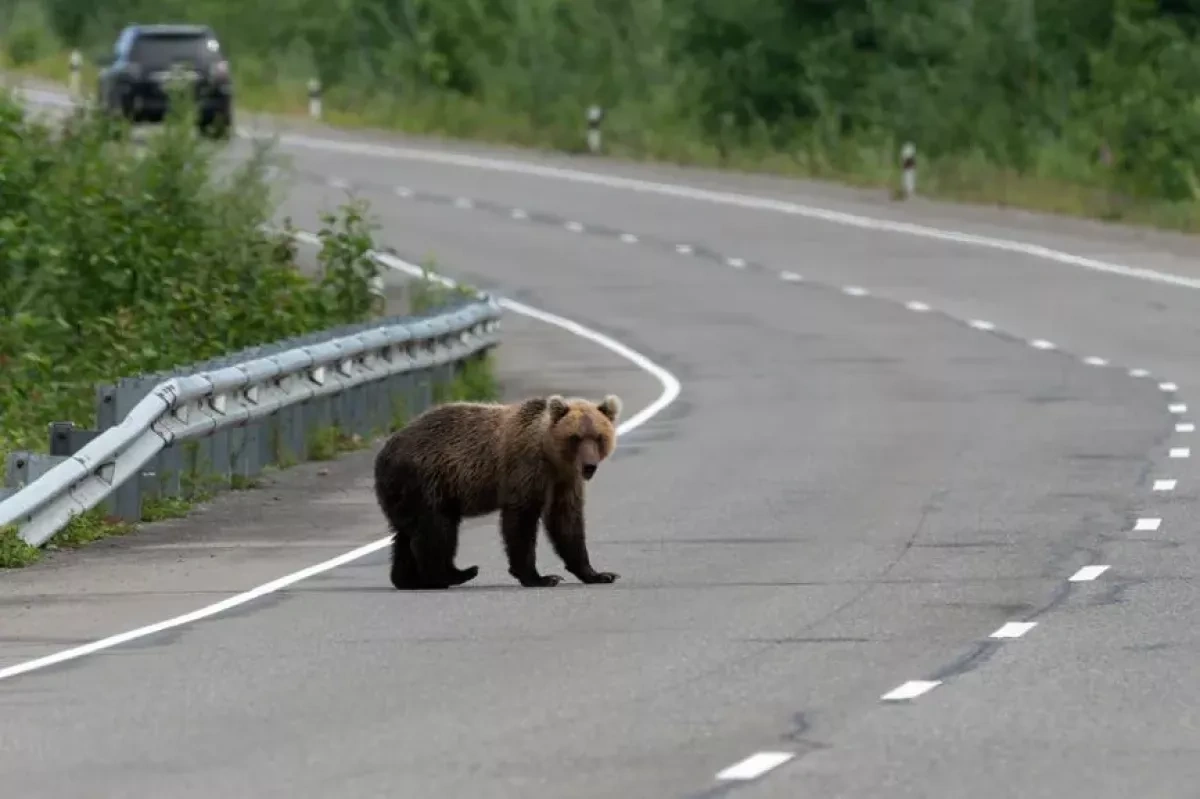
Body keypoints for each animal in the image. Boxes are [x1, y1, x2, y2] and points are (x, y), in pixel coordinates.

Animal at [372, 392, 624, 590]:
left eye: (599, 437)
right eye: (576, 437)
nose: (589, 465)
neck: (552, 457)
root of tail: (382, 454)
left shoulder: (564, 481)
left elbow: (566, 521)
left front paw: (599, 574)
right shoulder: (526, 469)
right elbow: (521, 520)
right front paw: (540, 577)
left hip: (408, 493)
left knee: (408, 534)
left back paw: (408, 579)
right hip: (425, 480)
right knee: (436, 529)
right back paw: (449, 576)